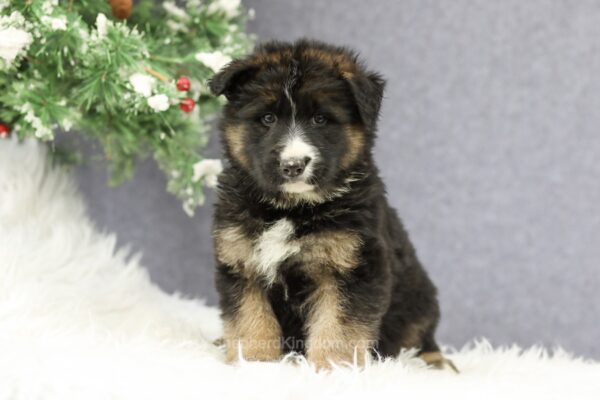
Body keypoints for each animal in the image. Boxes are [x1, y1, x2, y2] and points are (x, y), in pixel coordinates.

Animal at [209, 39, 452, 370]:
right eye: (268, 118)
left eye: (320, 119)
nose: (293, 165)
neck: (290, 209)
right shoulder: (242, 262)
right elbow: (251, 322)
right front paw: (255, 363)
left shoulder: (351, 269)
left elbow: (337, 327)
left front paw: (332, 369)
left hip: (419, 303)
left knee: (419, 340)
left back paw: (437, 362)